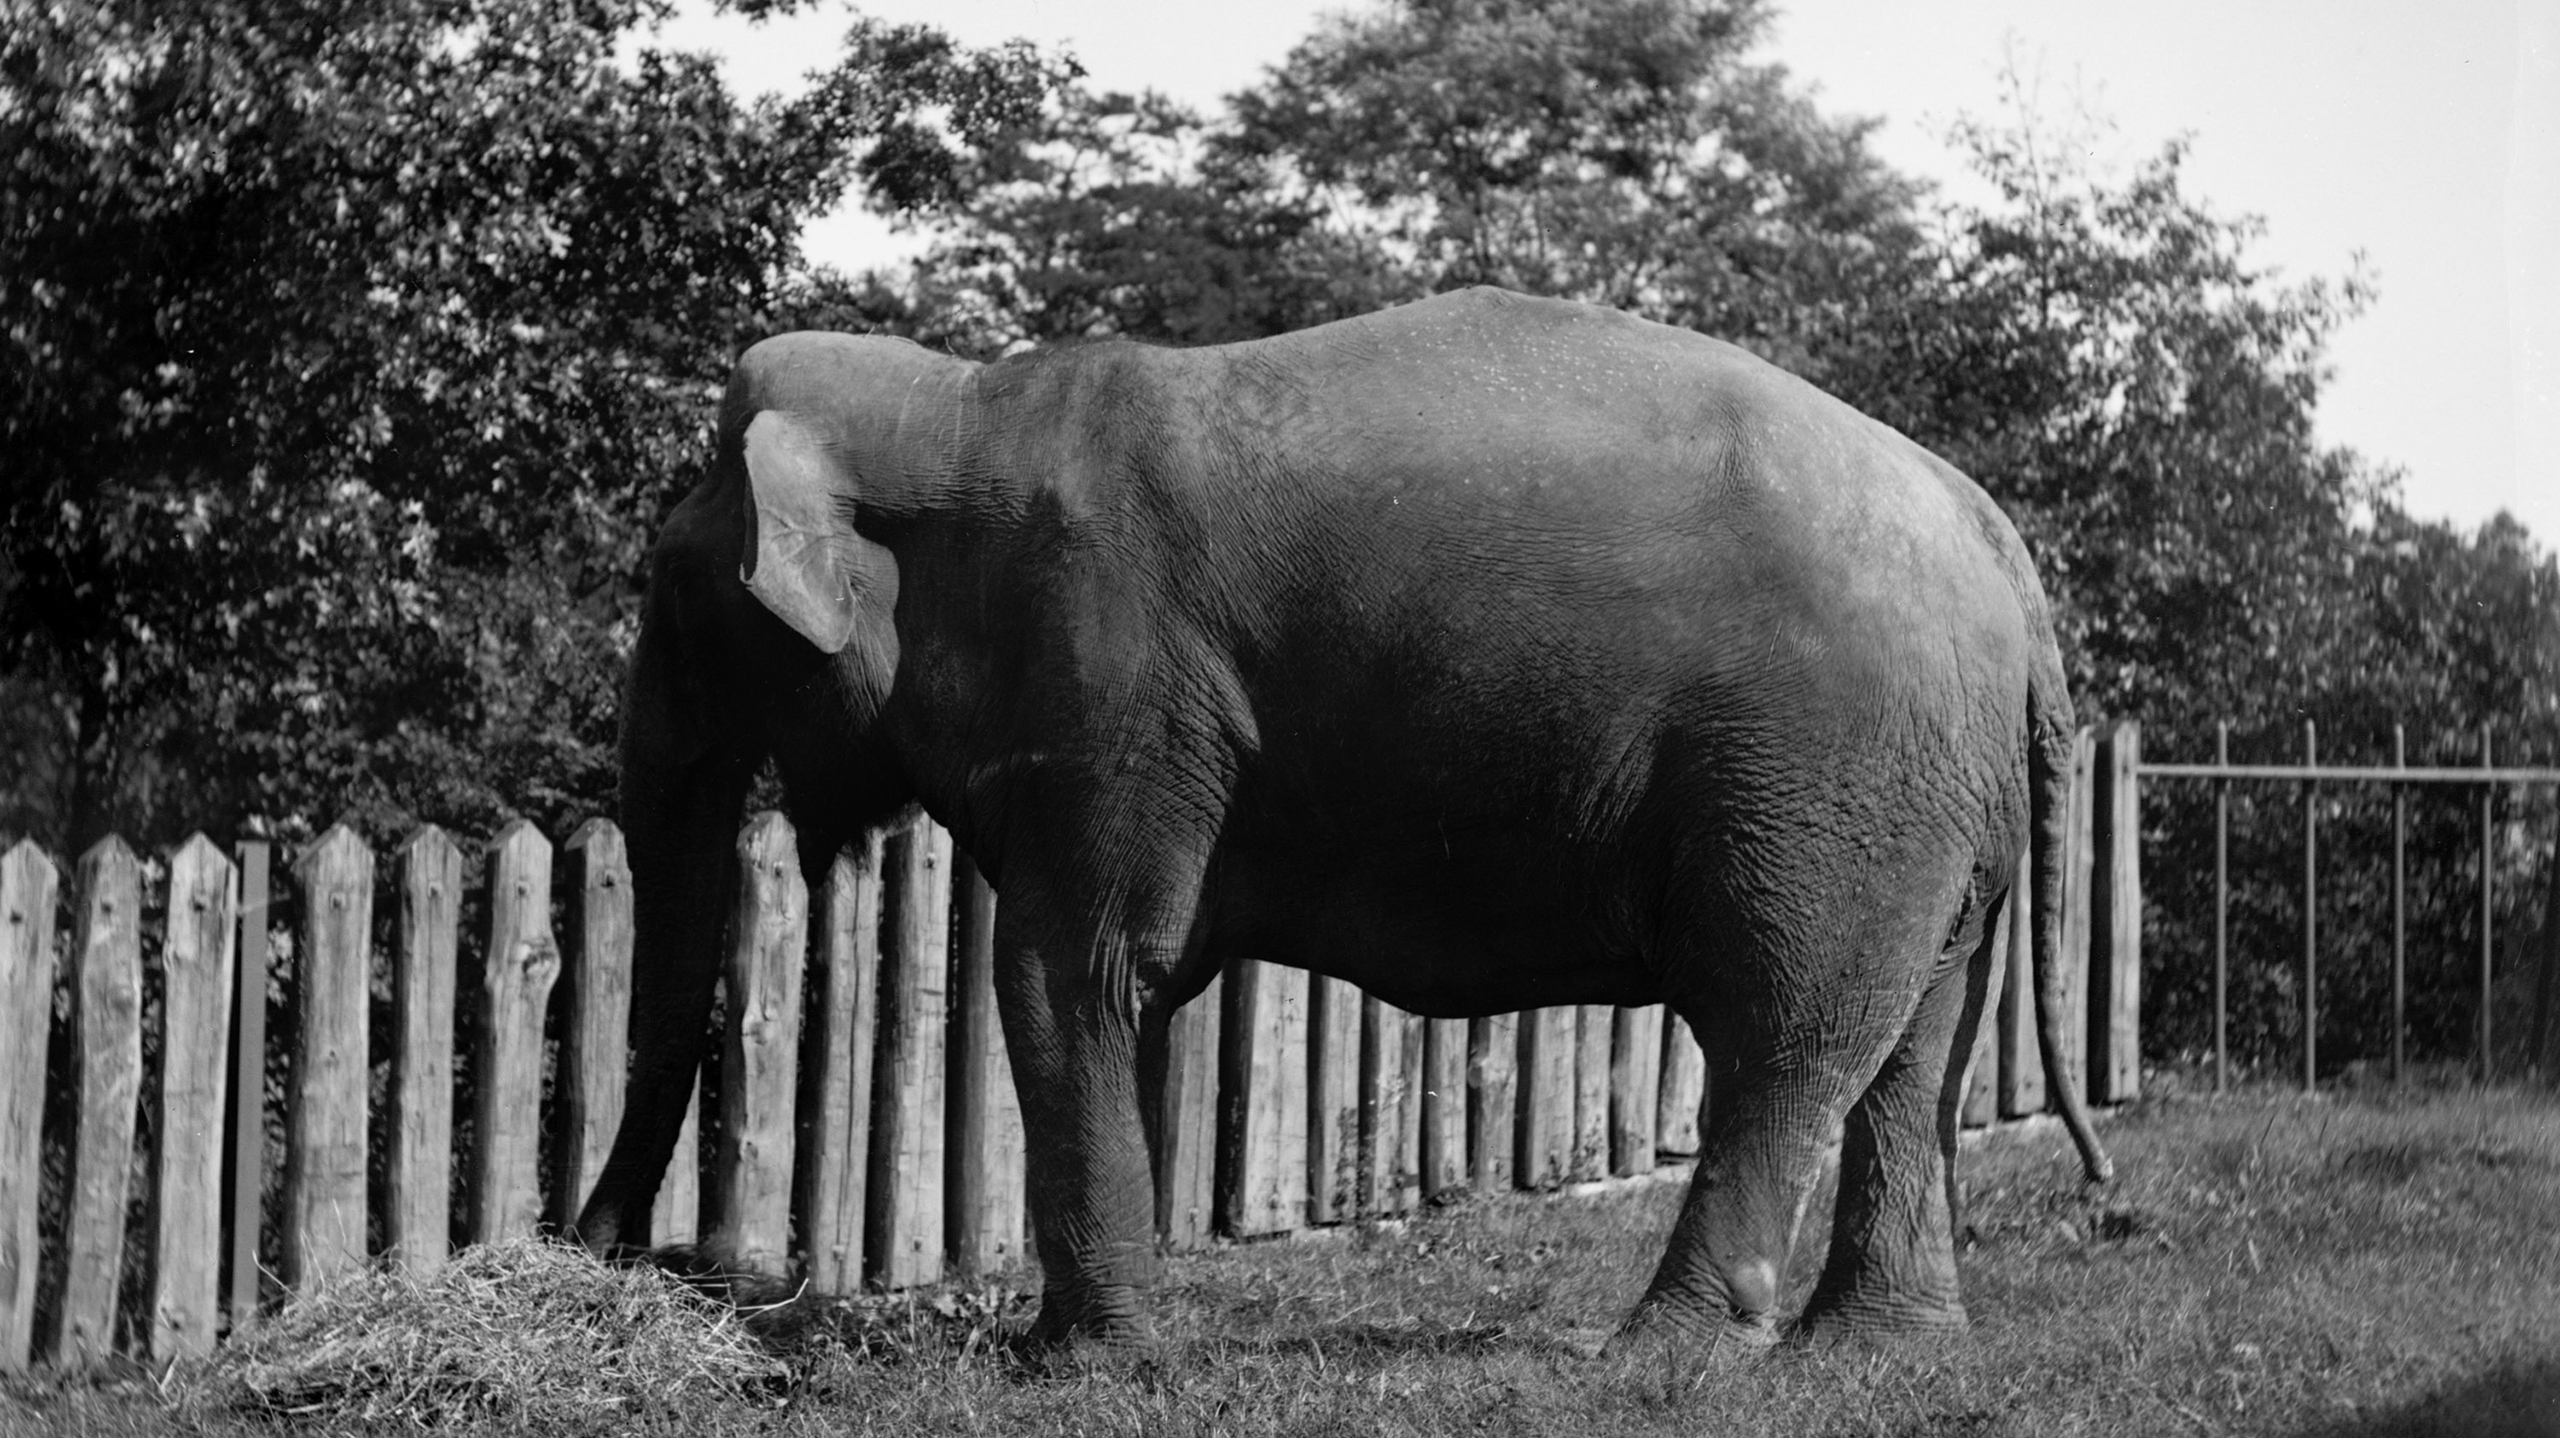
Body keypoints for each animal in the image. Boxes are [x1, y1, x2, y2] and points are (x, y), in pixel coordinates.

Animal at [574, 285, 2111, 1355]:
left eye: (668, 590)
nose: (596, 1252)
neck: (957, 406)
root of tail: (2002, 549)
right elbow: (1124, 994)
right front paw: (1087, 1341)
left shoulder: (1114, 682)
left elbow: (1067, 974)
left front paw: (1078, 1365)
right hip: (1934, 811)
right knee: (1911, 1048)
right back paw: (1872, 1346)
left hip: (1832, 784)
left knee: (1787, 1038)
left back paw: (1656, 1357)